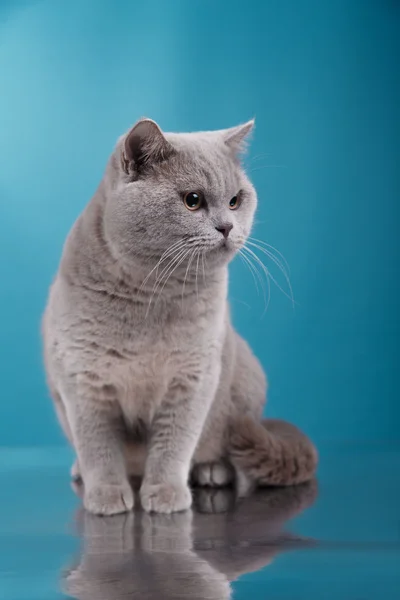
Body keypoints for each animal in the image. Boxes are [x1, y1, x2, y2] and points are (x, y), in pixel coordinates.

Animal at [42, 118, 318, 516]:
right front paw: (107, 494)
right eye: (193, 201)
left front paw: (166, 494)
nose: (227, 226)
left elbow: (175, 440)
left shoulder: (194, 374)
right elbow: (99, 445)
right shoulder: (82, 376)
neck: (149, 295)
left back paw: (211, 470)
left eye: (235, 200)